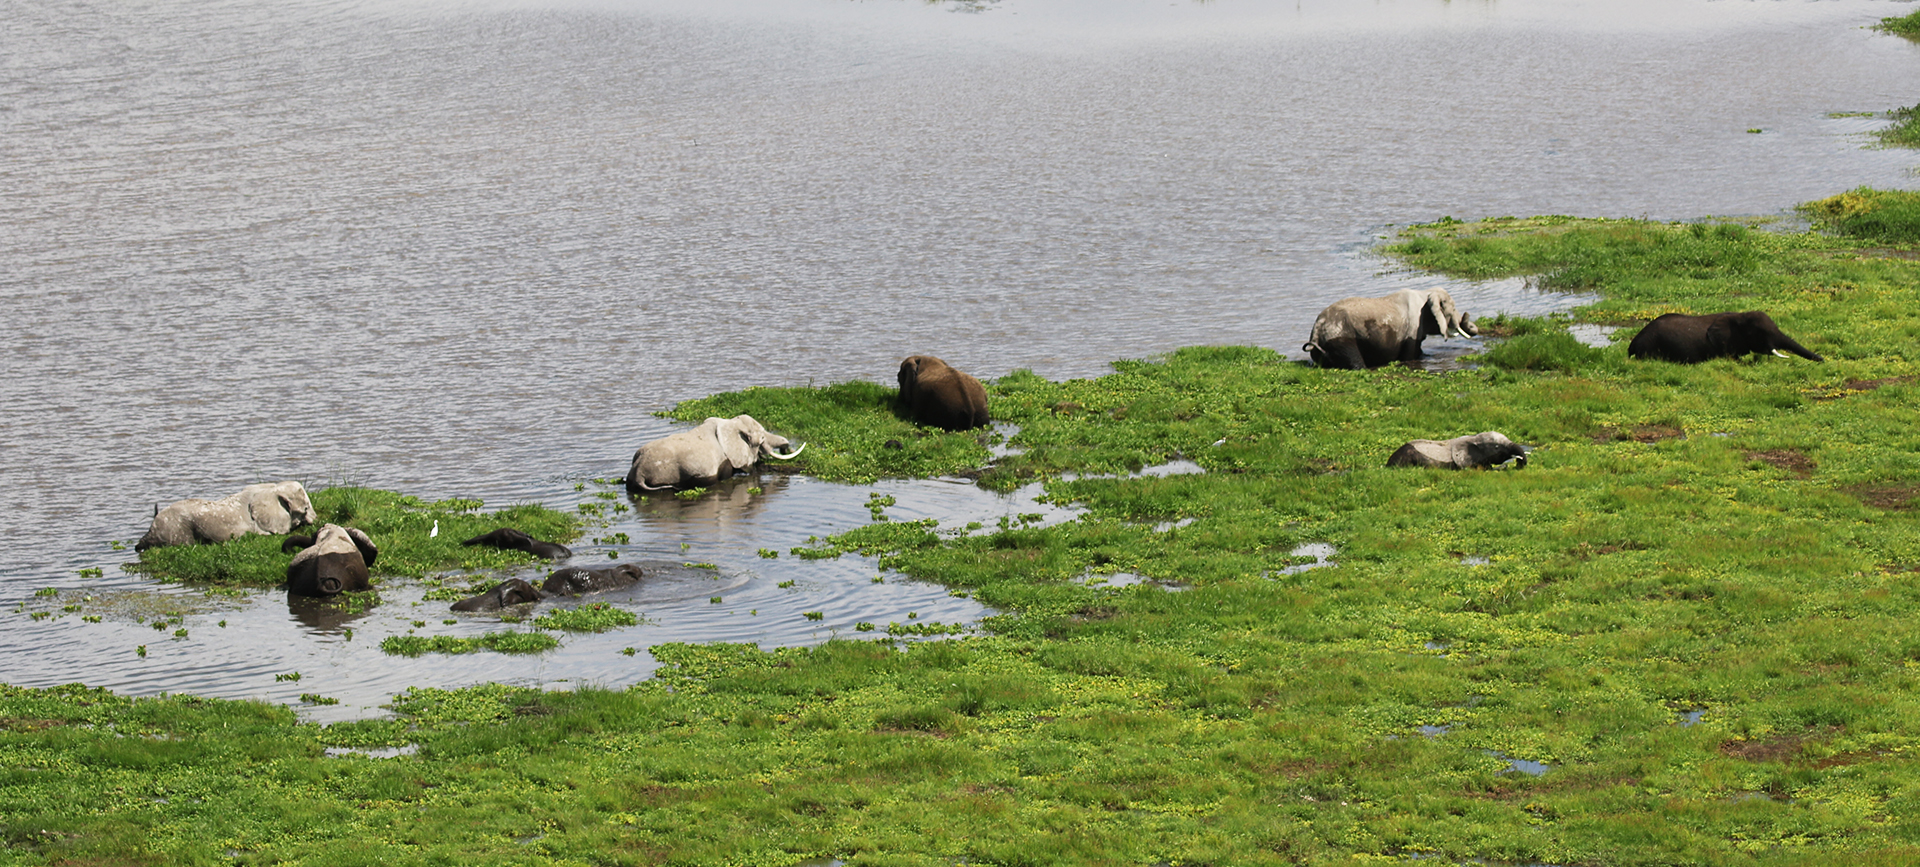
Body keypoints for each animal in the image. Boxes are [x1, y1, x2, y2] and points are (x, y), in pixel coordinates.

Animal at [1305, 287, 1482, 368]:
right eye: (1453, 309)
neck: (1425, 293)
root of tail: (1316, 331)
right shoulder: (1413, 326)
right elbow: (1410, 355)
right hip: (1341, 339)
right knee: (1356, 363)